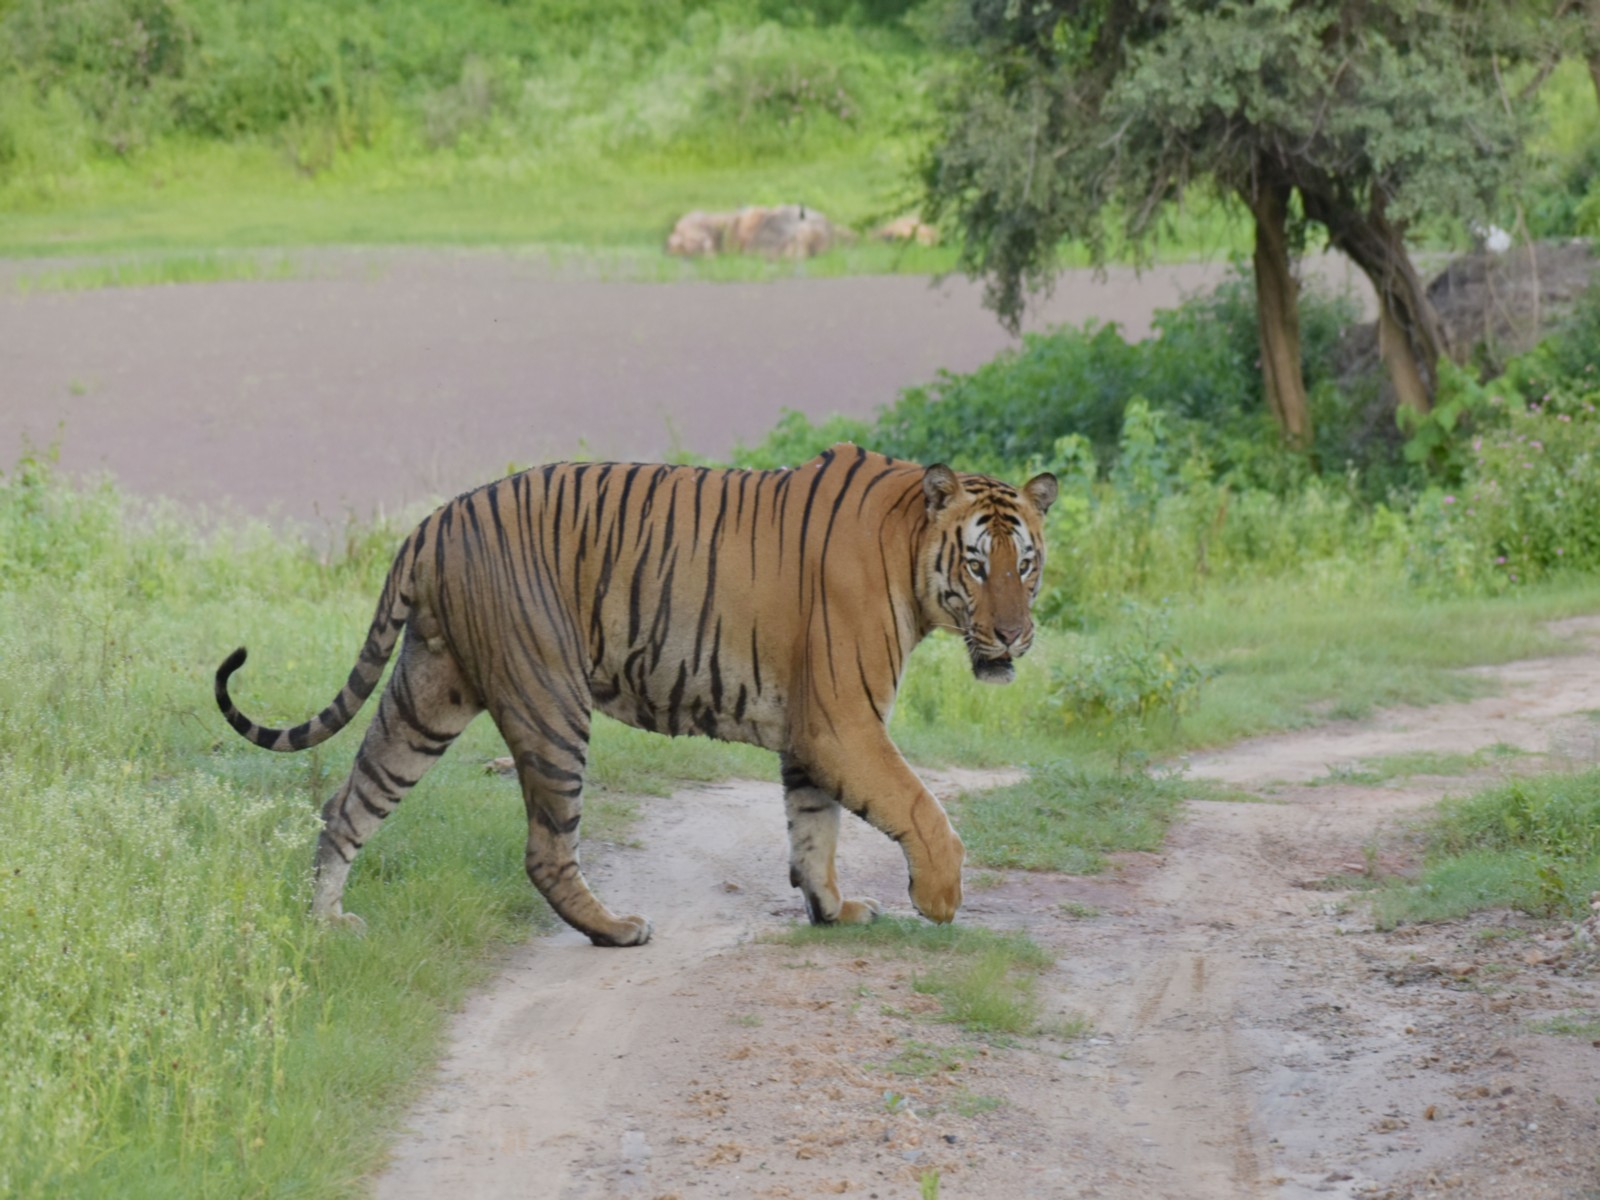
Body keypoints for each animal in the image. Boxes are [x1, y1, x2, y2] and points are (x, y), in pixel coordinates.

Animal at [215, 444, 1057, 946]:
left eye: (1028, 565)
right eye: (977, 565)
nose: (1014, 636)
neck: (910, 555)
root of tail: (433, 521)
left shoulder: (812, 732)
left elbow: (814, 828)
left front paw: (831, 909)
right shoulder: (842, 721)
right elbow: (918, 806)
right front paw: (940, 897)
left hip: (428, 694)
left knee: (349, 802)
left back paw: (325, 920)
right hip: (549, 698)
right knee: (546, 848)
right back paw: (616, 929)